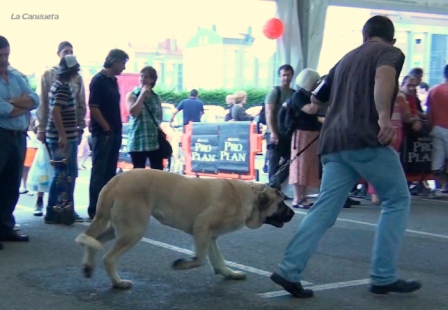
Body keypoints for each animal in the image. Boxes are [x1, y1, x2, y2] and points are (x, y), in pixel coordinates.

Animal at [75, 168, 296, 290]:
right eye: (281, 204)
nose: (293, 213)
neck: (250, 199)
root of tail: (114, 181)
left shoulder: (210, 236)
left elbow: (217, 259)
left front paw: (229, 273)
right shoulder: (202, 227)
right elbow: (200, 259)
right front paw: (182, 264)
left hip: (116, 228)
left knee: (91, 239)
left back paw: (87, 266)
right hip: (134, 230)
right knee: (108, 257)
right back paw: (118, 283)